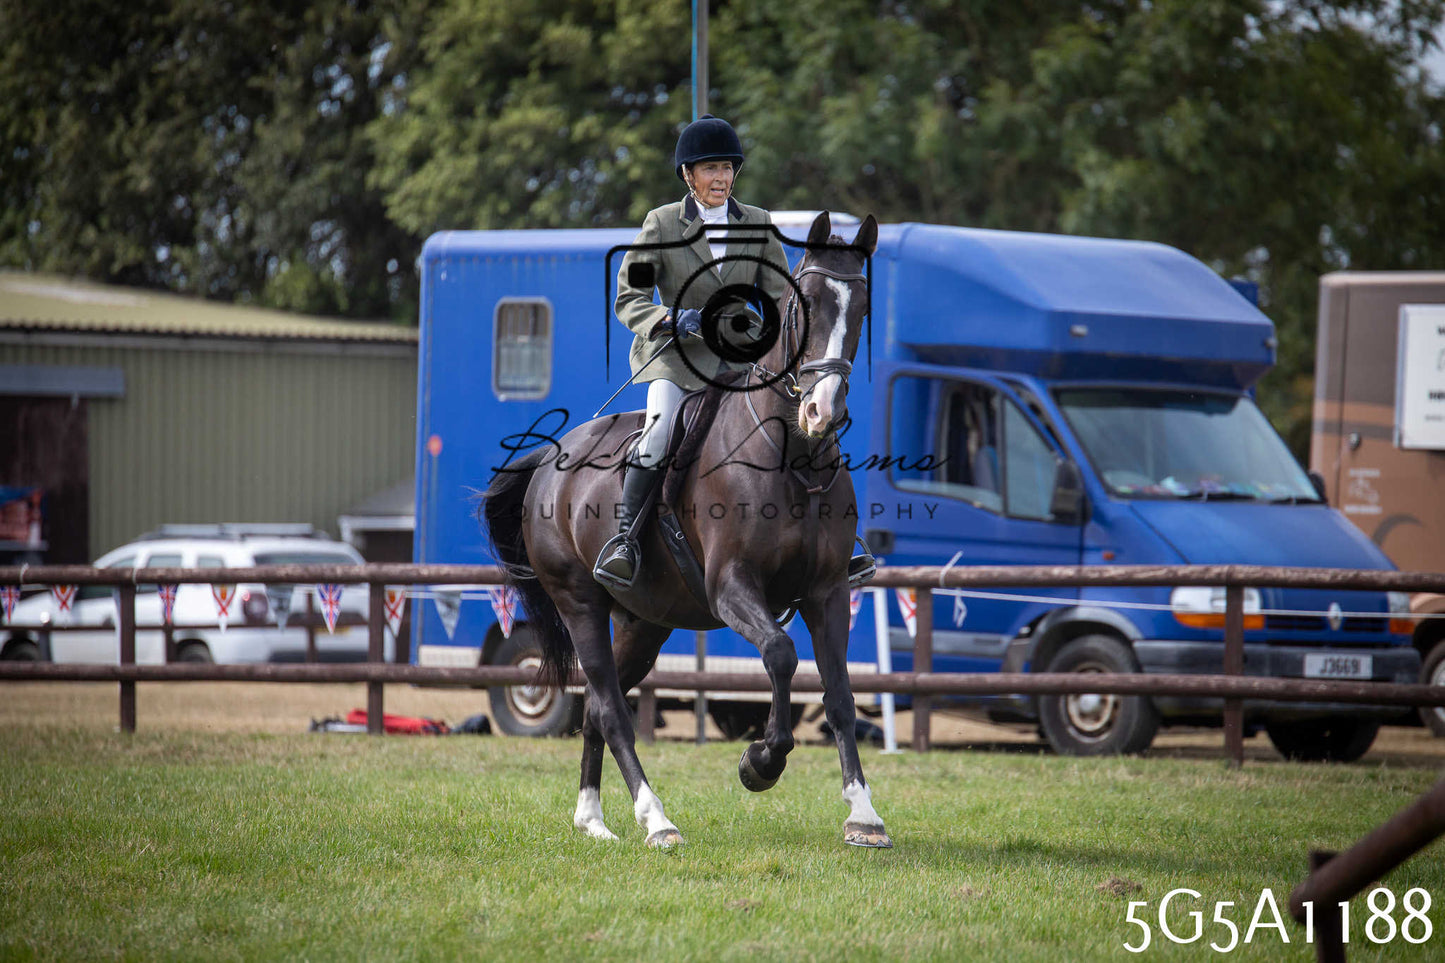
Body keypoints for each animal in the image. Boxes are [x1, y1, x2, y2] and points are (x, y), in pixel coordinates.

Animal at [480, 211, 890, 849]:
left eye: (864, 309)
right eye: (808, 305)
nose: (821, 413)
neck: (790, 454)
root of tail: (551, 458)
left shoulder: (827, 593)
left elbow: (841, 696)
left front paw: (863, 815)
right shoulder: (732, 588)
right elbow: (779, 656)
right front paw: (759, 764)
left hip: (646, 622)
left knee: (597, 708)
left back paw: (593, 820)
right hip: (579, 602)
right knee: (610, 709)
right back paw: (656, 819)